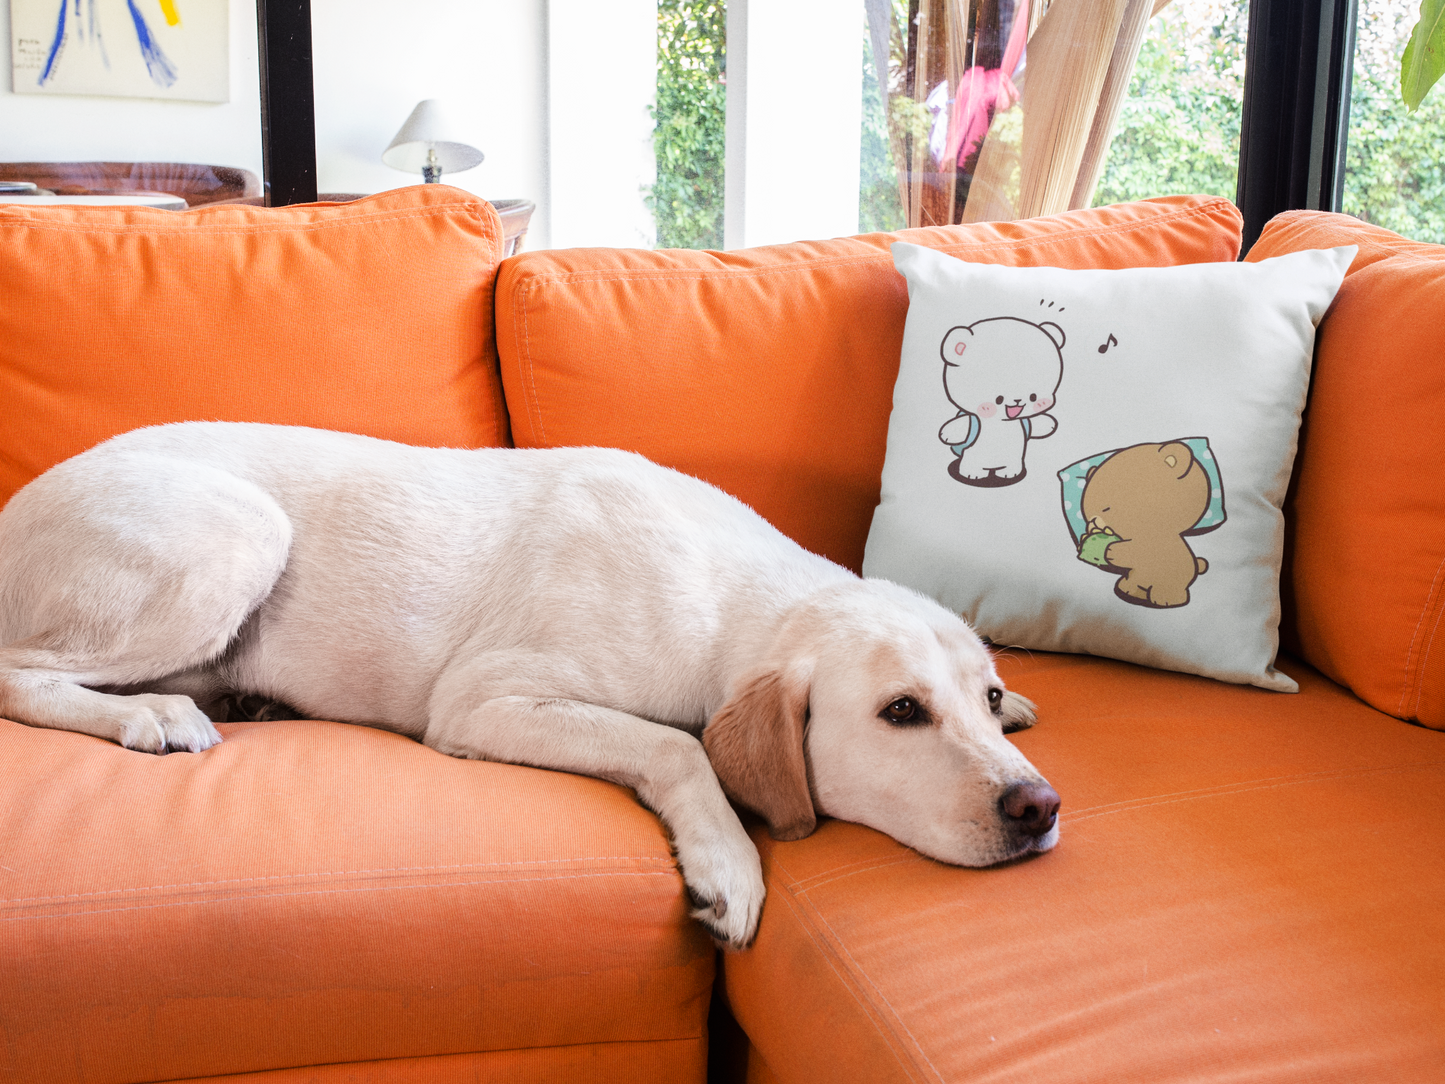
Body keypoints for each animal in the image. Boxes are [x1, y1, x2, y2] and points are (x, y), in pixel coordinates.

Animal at [938, 317, 1065, 487]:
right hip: (973, 459)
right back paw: (972, 474)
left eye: (1033, 396)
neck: (1001, 423)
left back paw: (1009, 473)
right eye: (998, 399)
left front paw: (1050, 423)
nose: (1017, 401)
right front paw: (945, 435)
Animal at [1078, 440, 1214, 609]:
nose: (1094, 519)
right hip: (1136, 578)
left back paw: (1167, 600)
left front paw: (1111, 550)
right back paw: (1128, 590)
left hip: (1172, 583)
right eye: (1090, 508)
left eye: (1106, 508)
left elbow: (1132, 552)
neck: (1148, 532)